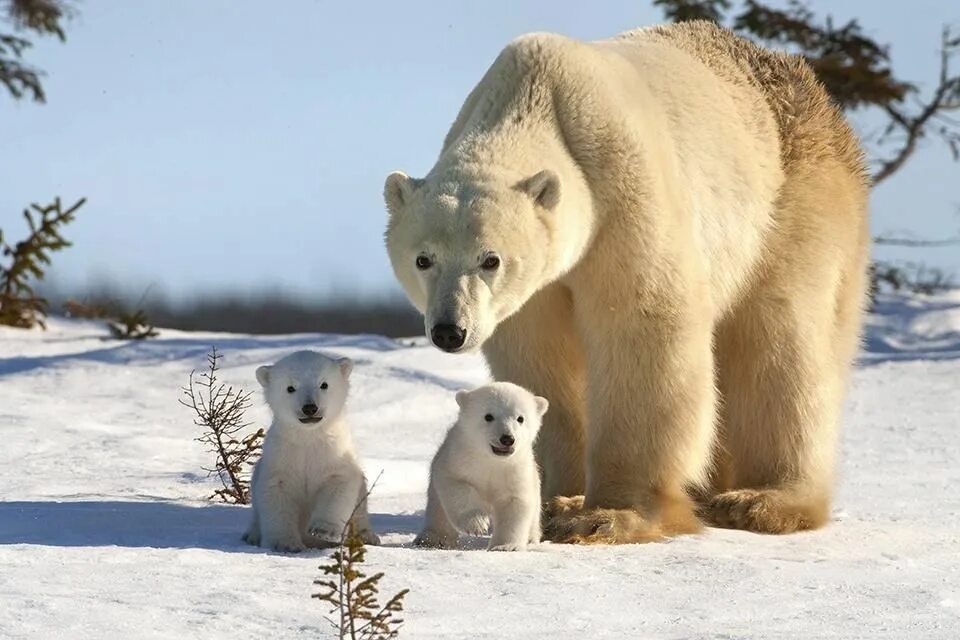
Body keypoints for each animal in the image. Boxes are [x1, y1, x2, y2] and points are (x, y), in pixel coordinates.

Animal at [380, 21, 872, 544]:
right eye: (423, 259)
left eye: (490, 259)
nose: (450, 331)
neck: (535, 97)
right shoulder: (534, 292)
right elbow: (541, 357)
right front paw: (558, 496)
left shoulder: (622, 192)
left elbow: (643, 327)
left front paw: (606, 514)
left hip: (792, 202)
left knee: (781, 342)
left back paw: (761, 500)